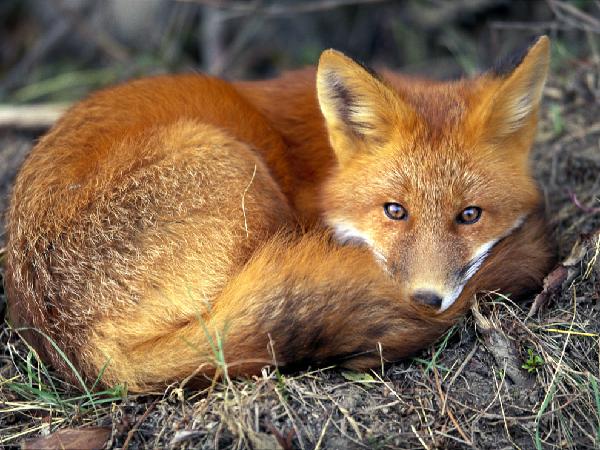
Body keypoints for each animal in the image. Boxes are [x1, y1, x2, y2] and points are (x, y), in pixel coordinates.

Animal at [7, 37, 556, 392]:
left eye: (470, 215)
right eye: (394, 211)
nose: (426, 300)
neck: (325, 163)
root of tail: (78, 348)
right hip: (238, 168)